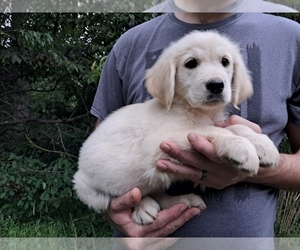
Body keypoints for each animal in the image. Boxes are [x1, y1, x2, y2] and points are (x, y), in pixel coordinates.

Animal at [72, 30, 278, 225]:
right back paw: (144, 208)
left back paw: (183, 200)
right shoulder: (157, 145)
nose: (216, 85)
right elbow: (209, 129)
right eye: (191, 63)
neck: (191, 109)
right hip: (88, 189)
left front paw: (263, 145)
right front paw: (242, 147)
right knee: (127, 195)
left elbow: (236, 126)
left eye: (225, 61)